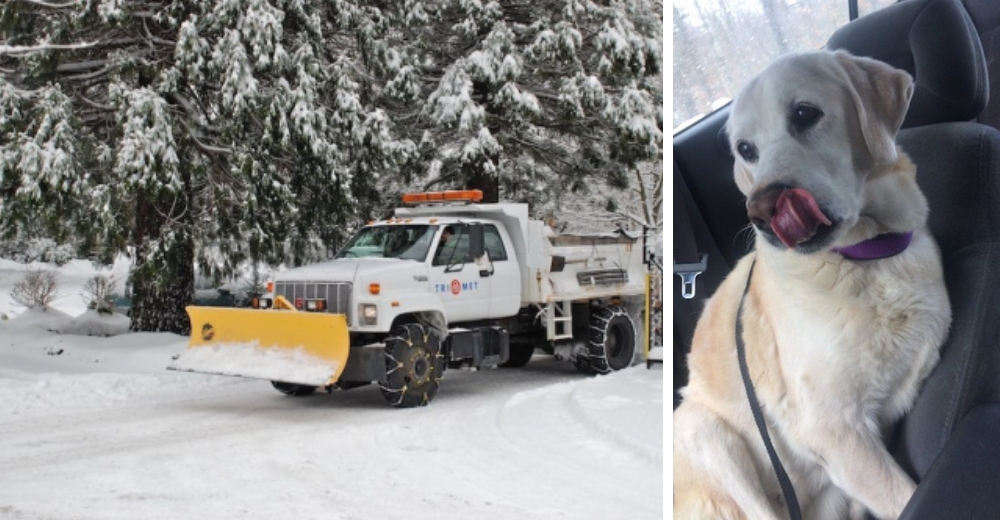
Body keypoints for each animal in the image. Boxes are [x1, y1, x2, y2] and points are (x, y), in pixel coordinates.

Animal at [676, 49, 948, 520]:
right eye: (746, 149)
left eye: (805, 114)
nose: (761, 212)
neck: (866, 257)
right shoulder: (832, 429)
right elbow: (904, 499)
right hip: (701, 429)